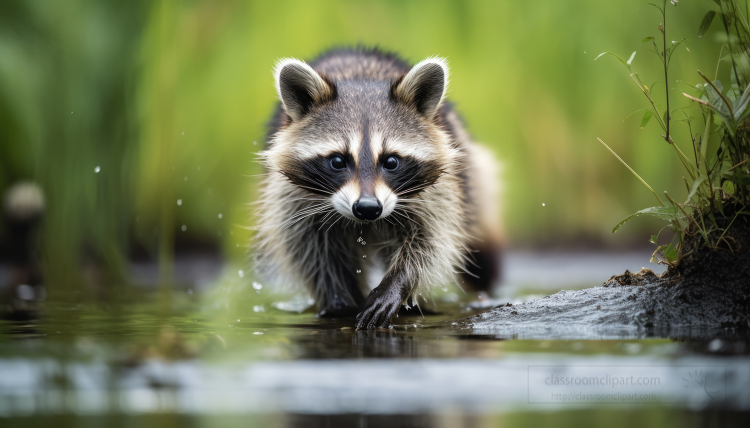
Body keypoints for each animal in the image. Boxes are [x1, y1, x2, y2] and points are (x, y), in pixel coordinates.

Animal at [254, 46, 506, 330]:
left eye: (391, 161)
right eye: (338, 161)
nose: (367, 208)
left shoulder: (438, 192)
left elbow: (430, 241)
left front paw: (396, 284)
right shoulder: (291, 196)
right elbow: (310, 249)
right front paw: (339, 299)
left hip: (472, 172)